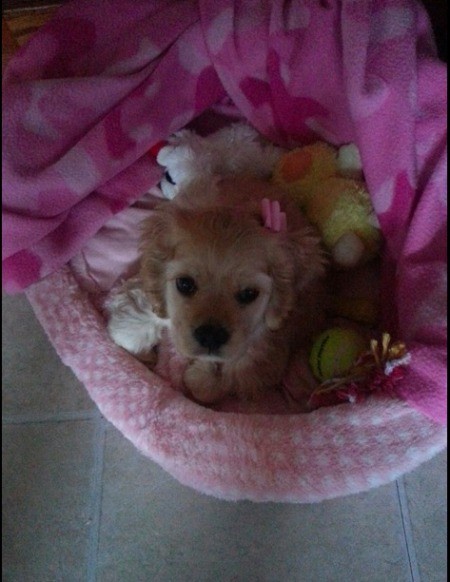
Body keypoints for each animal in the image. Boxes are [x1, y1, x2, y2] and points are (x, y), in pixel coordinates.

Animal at [107, 177, 328, 406]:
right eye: (185, 284)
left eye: (249, 293)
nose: (210, 336)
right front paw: (130, 328)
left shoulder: (267, 354)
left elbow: (232, 373)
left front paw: (201, 375)